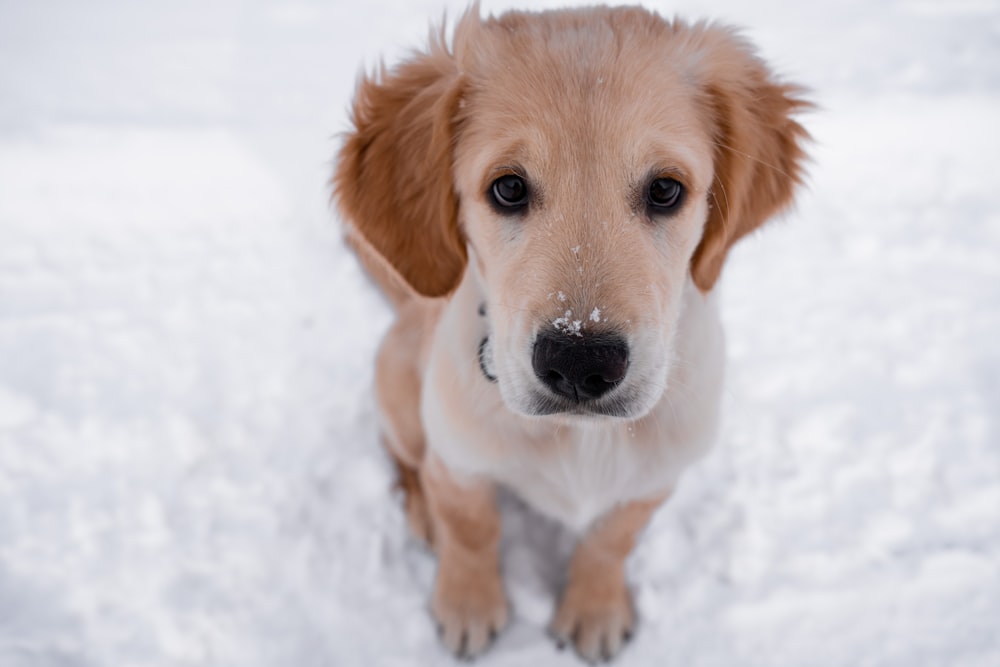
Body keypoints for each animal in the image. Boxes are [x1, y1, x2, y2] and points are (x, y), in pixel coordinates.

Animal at [332, 3, 808, 664]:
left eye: (666, 189)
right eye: (508, 187)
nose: (582, 364)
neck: (578, 438)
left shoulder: (657, 475)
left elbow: (612, 539)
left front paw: (595, 608)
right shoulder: (459, 458)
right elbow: (471, 528)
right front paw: (468, 602)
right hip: (399, 386)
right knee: (406, 459)